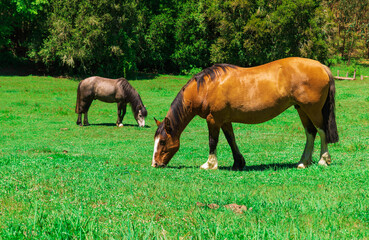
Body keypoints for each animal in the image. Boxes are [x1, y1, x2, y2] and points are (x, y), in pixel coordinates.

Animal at [151, 57, 338, 171]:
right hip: (301, 109)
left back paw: (323, 160)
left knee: (321, 131)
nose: (155, 164)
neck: (206, 87)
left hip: (312, 109)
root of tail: (321, 66)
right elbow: (231, 140)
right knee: (310, 132)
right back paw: (303, 162)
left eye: (163, 141)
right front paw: (238, 163)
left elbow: (213, 141)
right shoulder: (224, 120)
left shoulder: (213, 120)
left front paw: (209, 164)